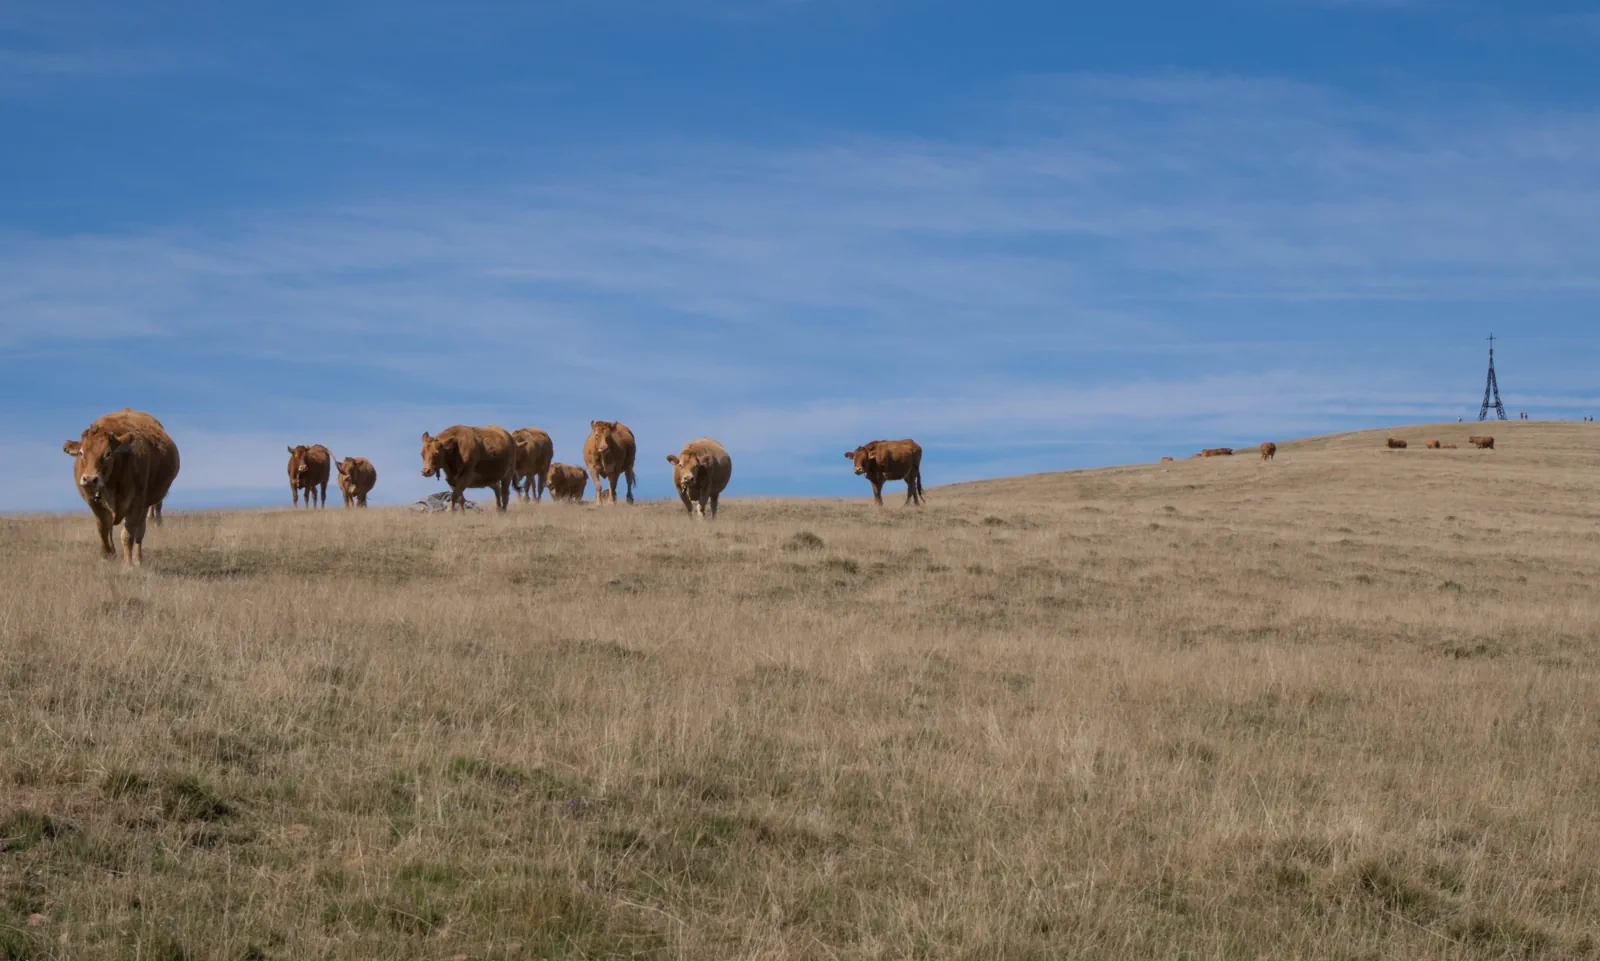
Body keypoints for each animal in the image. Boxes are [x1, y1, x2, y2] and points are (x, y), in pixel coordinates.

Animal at [62, 408, 180, 566]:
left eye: (108, 453)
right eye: (81, 452)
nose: (89, 479)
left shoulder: (136, 503)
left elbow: (128, 535)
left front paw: (128, 564)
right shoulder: (93, 502)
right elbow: (103, 529)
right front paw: (107, 555)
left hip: (145, 504)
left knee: (140, 531)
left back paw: (137, 559)